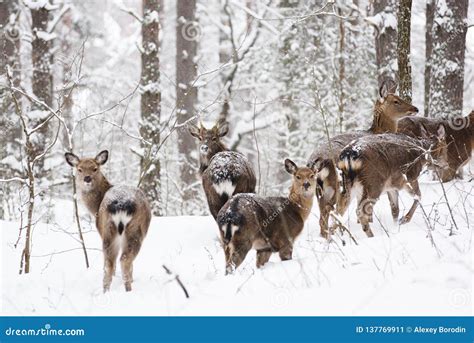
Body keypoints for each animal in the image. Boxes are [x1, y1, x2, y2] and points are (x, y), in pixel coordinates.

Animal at [65, 151, 151, 292]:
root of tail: (120, 204)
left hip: (107, 228)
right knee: (124, 259)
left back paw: (106, 291)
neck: (95, 206)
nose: (87, 178)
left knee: (109, 263)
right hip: (135, 229)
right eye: (79, 169)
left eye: (95, 168)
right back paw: (128, 289)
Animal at [308, 82, 418, 241]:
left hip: (319, 191)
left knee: (325, 216)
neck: (378, 131)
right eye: (396, 101)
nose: (415, 109)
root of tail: (315, 162)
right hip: (336, 187)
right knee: (333, 212)